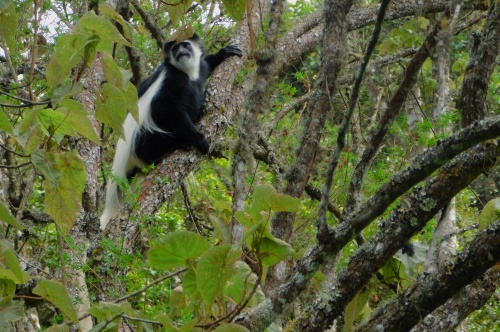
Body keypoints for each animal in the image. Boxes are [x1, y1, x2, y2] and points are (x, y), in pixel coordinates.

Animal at [99, 34, 242, 231]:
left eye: (185, 45)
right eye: (175, 49)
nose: (180, 52)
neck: (188, 72)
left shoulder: (199, 69)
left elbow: (206, 64)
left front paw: (224, 53)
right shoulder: (173, 80)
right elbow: (164, 107)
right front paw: (197, 138)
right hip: (145, 142)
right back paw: (171, 148)